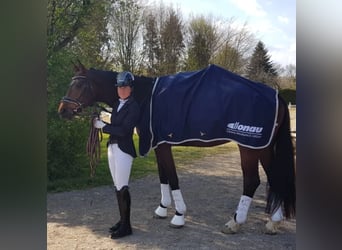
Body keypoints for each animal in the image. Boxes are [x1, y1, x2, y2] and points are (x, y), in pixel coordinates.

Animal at [58, 62, 294, 234]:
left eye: (78, 85)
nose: (62, 111)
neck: (144, 96)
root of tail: (277, 96)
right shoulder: (159, 145)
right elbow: (163, 177)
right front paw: (162, 209)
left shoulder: (163, 145)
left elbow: (172, 177)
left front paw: (179, 216)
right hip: (263, 147)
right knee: (274, 178)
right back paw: (273, 221)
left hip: (249, 147)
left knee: (252, 181)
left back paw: (235, 222)